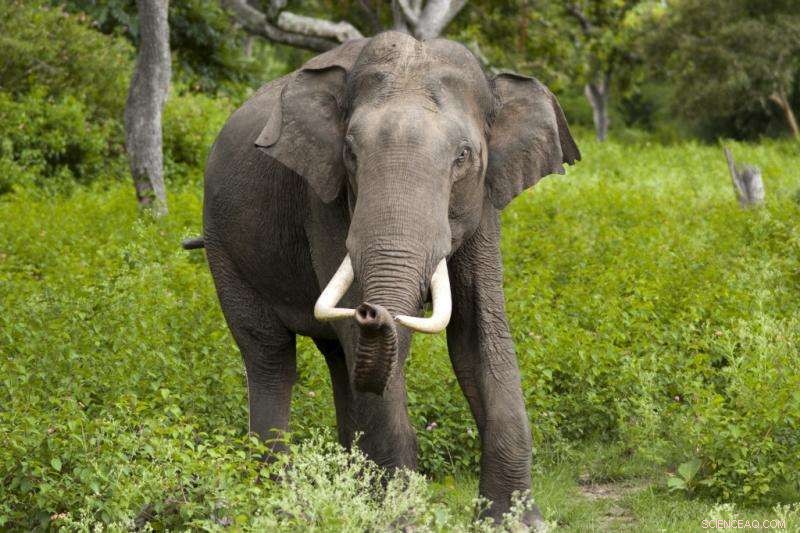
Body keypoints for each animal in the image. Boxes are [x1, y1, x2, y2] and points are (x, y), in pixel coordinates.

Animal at [193, 30, 579, 526]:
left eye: (463, 156)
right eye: (351, 153)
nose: (371, 311)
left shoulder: (484, 201)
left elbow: (478, 335)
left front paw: (513, 524)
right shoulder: (325, 199)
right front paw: (399, 520)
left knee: (338, 359)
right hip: (223, 245)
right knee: (270, 356)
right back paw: (279, 502)